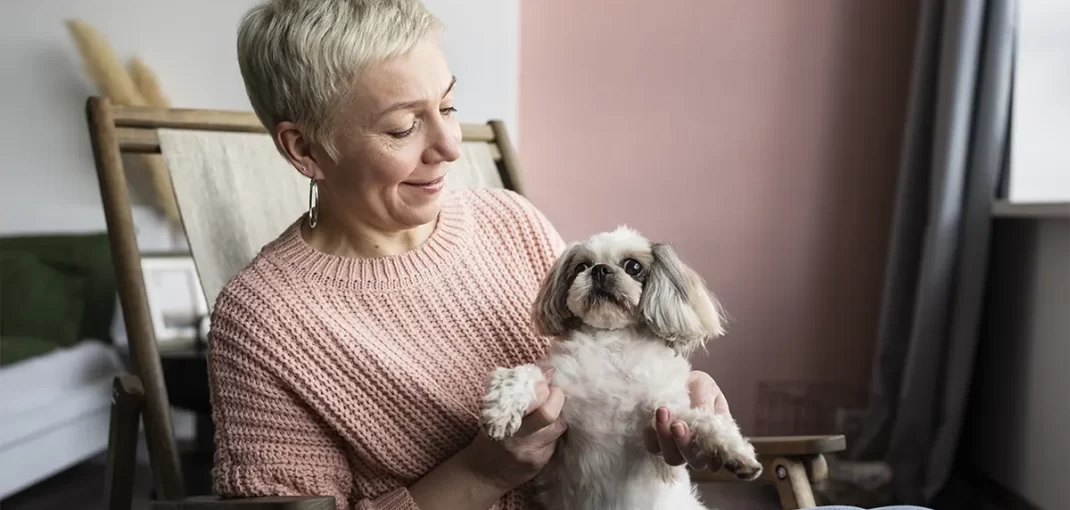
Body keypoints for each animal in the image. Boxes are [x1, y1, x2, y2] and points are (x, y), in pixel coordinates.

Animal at [479, 226, 762, 510]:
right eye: (581, 266)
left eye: (633, 266)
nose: (599, 270)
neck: (612, 341)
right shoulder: (558, 386)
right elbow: (522, 374)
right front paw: (502, 409)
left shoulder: (664, 412)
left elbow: (704, 421)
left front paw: (734, 451)